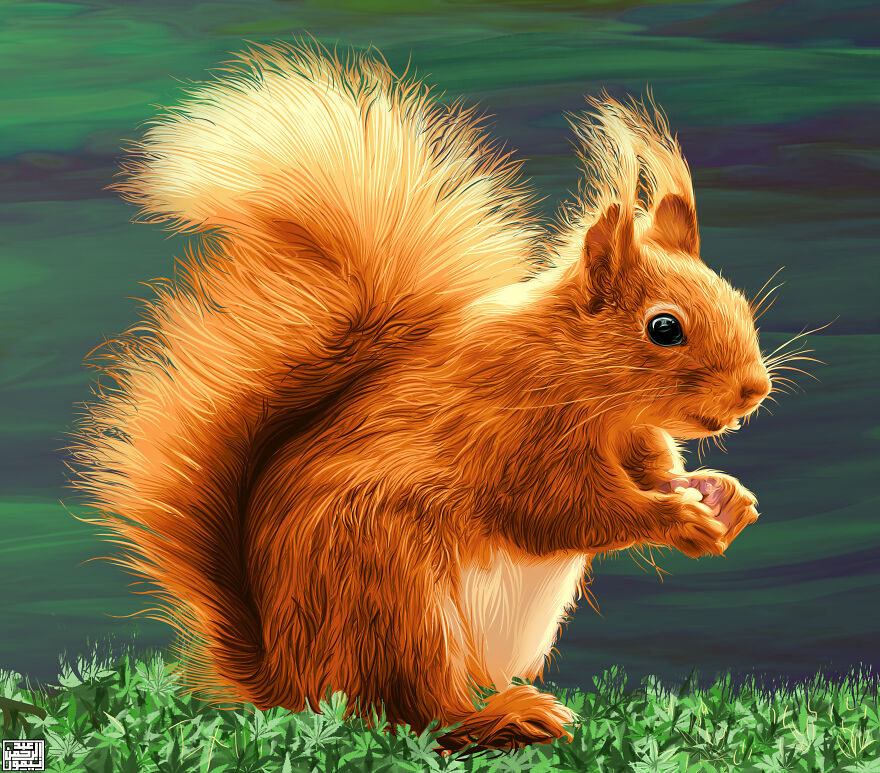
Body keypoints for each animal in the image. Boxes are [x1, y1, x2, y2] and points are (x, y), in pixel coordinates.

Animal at [66, 39, 774, 751]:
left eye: (738, 299)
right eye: (664, 328)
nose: (754, 390)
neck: (591, 392)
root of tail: (289, 680)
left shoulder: (635, 440)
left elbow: (653, 472)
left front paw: (724, 497)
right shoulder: (510, 435)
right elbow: (563, 510)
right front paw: (677, 518)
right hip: (394, 596)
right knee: (417, 711)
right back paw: (504, 718)